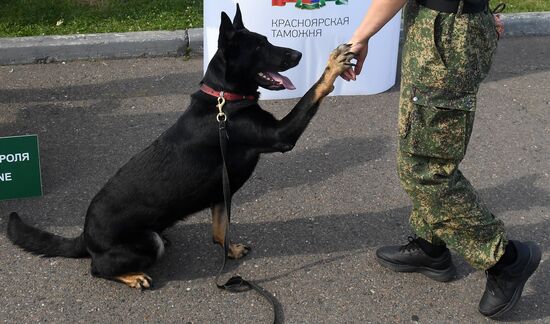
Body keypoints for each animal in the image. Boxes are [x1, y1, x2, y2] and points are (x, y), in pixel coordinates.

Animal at [7, 5, 354, 288]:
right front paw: (333, 65)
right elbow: (313, 92)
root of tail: (84, 235)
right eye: (259, 46)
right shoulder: (282, 135)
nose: (298, 55)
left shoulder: (220, 193)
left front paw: (230, 249)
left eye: (266, 39)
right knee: (98, 269)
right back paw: (133, 276)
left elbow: (220, 231)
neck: (224, 98)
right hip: (146, 243)